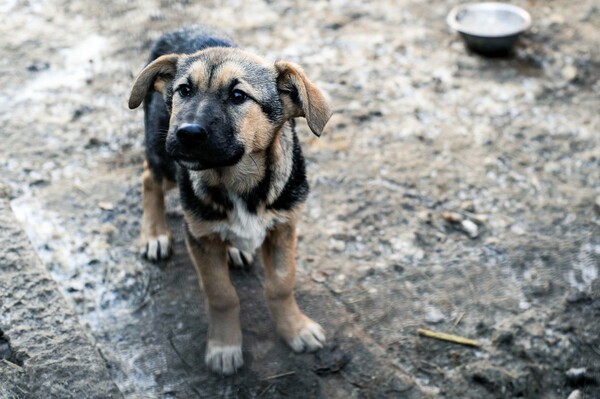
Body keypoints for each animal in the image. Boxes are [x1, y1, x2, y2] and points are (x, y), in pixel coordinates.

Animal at [127, 26, 332, 376]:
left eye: (238, 96)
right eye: (184, 90)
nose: (187, 133)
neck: (237, 181)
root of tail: (180, 28)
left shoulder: (283, 228)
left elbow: (281, 284)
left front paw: (296, 329)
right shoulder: (201, 237)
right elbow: (222, 295)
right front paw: (224, 346)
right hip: (163, 153)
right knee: (148, 176)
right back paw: (154, 234)